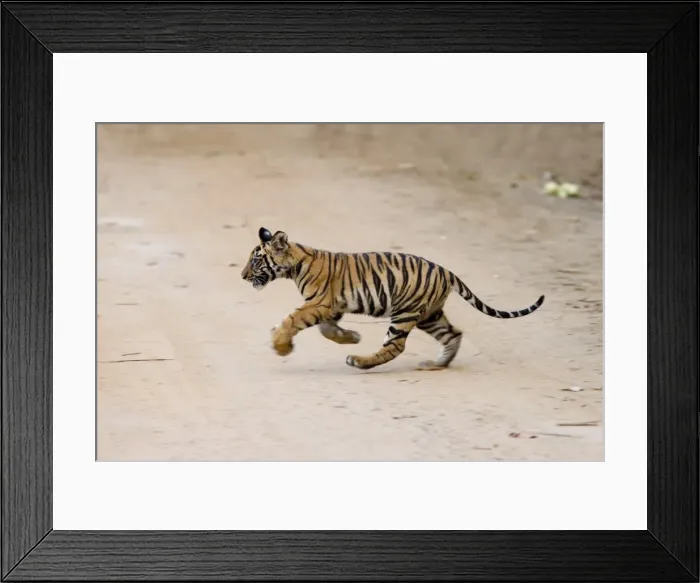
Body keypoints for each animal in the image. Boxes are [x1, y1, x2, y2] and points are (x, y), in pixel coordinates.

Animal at [241, 227, 545, 371]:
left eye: (256, 260)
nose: (242, 276)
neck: (295, 263)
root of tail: (446, 271)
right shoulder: (331, 306)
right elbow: (328, 330)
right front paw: (352, 336)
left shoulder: (319, 303)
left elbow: (291, 320)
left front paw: (281, 346)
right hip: (429, 315)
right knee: (453, 334)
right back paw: (436, 365)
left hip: (405, 313)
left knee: (395, 347)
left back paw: (359, 361)